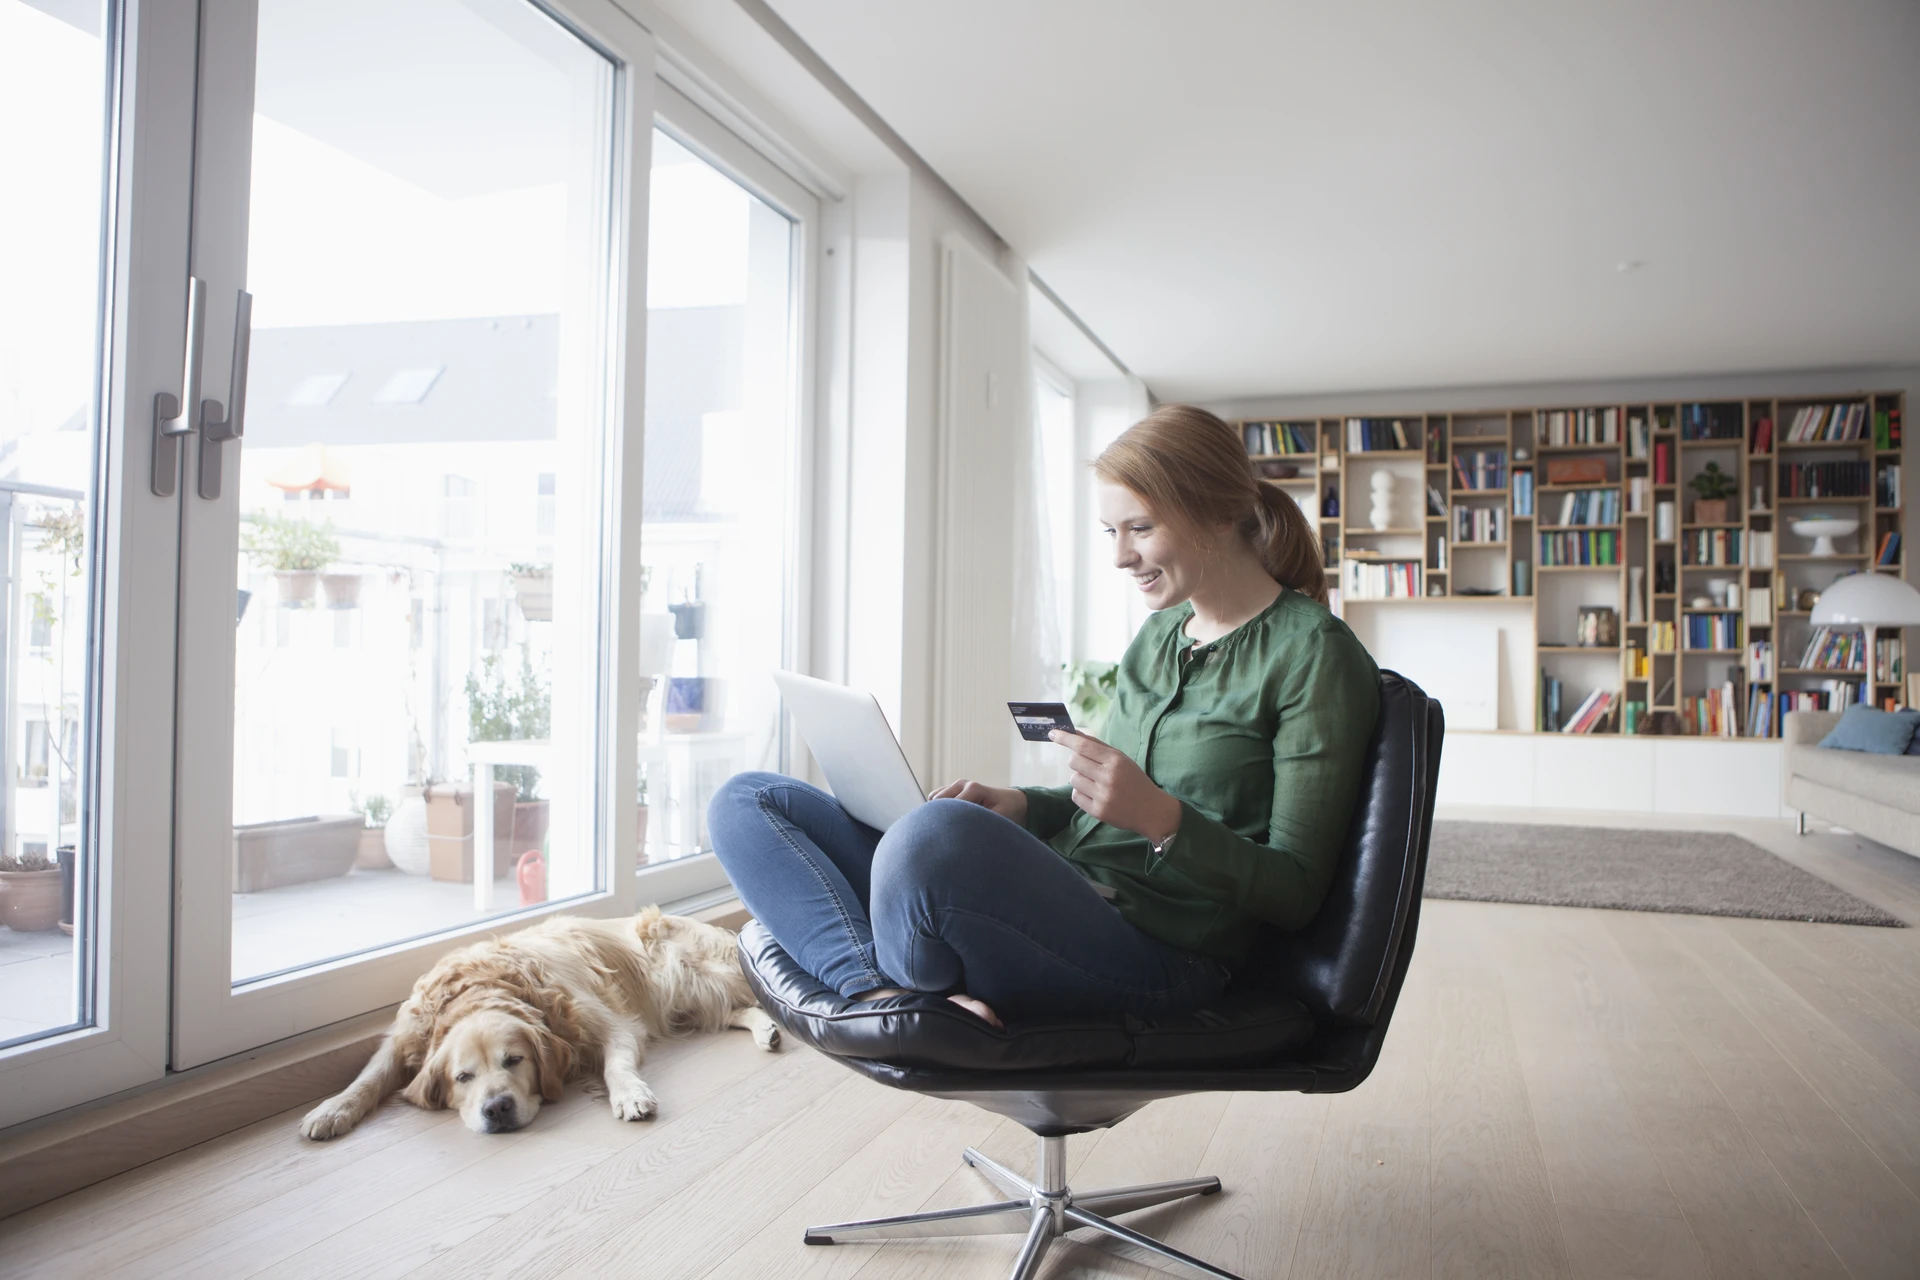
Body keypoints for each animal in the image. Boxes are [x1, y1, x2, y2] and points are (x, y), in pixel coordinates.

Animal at [299, 909, 779, 1143]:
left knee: (751, 992)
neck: (482, 987)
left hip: (690, 970)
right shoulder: (404, 1036)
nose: (497, 1109)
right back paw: (765, 1030)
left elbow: (616, 1066)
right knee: (734, 1010)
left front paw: (630, 1096)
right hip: (690, 996)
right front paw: (331, 1110)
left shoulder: (611, 1023)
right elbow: (370, 1077)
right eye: (462, 1077)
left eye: (514, 1060)